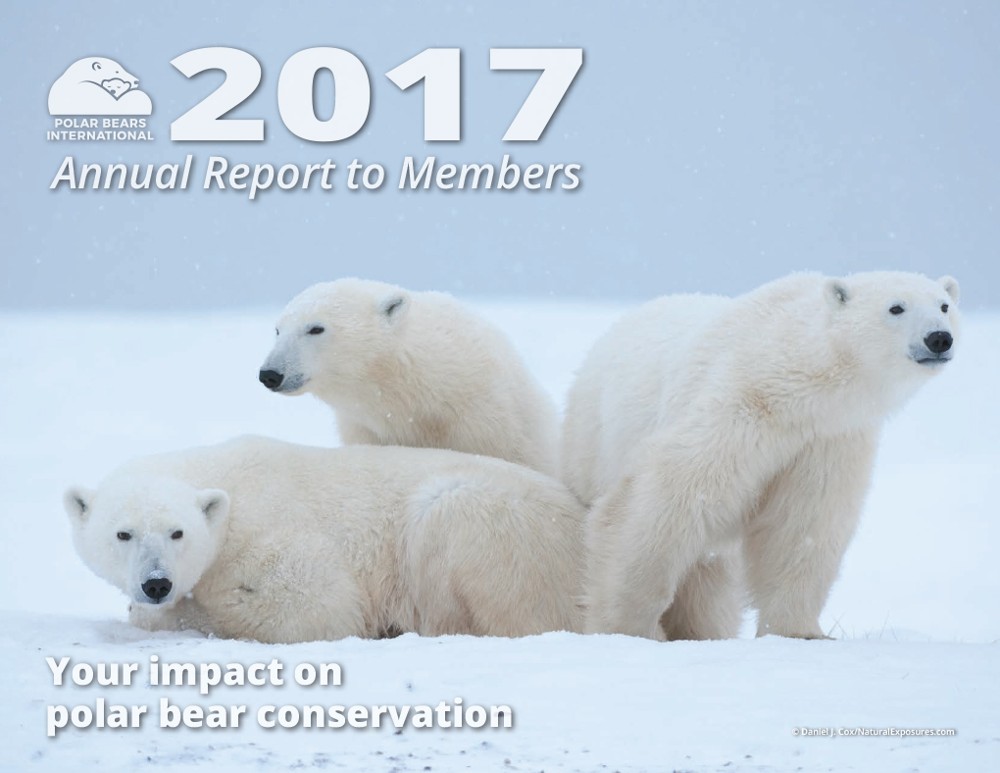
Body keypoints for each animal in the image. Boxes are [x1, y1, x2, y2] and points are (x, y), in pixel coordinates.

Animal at [64, 436, 585, 643]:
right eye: (123, 534)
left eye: (178, 532)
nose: (157, 584)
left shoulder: (273, 535)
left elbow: (316, 607)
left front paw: (172, 613)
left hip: (496, 530)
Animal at [561, 271, 960, 641]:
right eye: (896, 307)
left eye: (944, 305)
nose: (939, 338)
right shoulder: (741, 407)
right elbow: (666, 495)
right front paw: (625, 627)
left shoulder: (829, 439)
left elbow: (804, 525)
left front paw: (801, 632)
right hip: (593, 439)